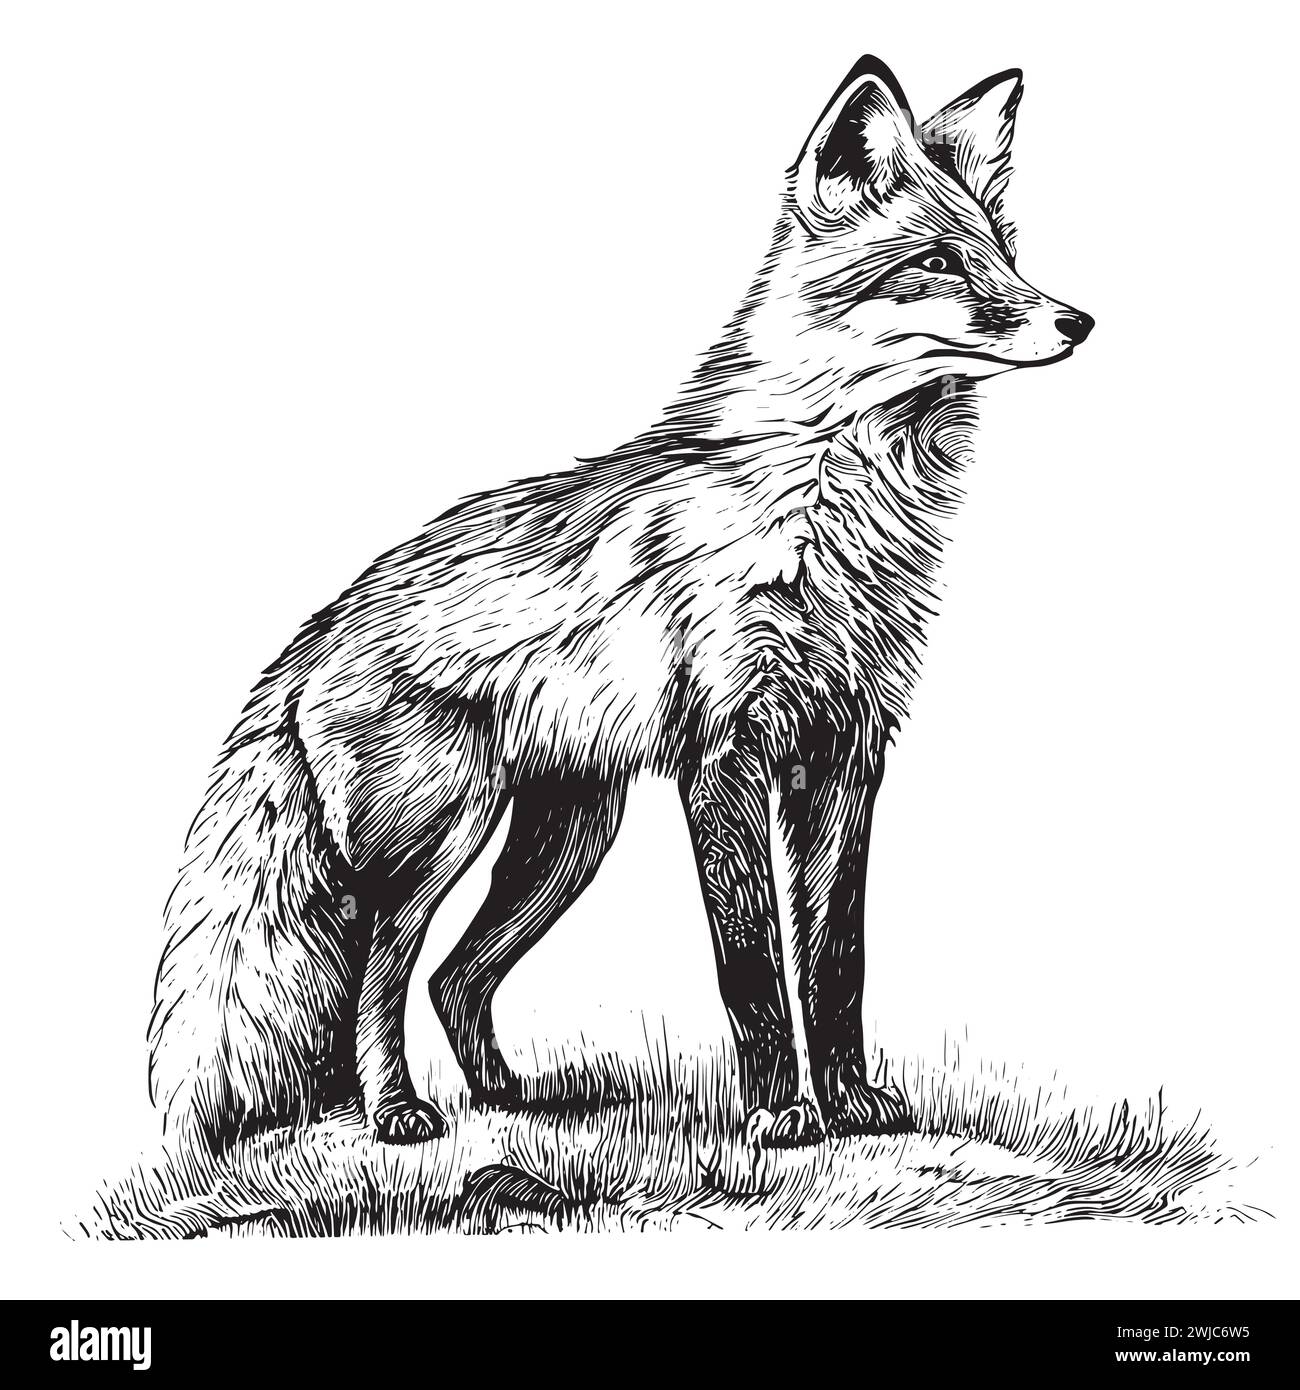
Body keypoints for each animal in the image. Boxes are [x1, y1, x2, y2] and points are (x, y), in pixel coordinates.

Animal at [149, 55, 1092, 1152]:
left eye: (1007, 256)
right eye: (939, 263)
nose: (1077, 321)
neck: (831, 512)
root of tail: (322, 622)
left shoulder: (847, 756)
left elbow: (836, 962)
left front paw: (852, 1103)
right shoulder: (725, 758)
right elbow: (752, 969)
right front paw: (782, 1112)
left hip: (565, 841)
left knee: (452, 977)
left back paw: (509, 1096)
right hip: (438, 840)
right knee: (377, 972)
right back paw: (393, 1111)